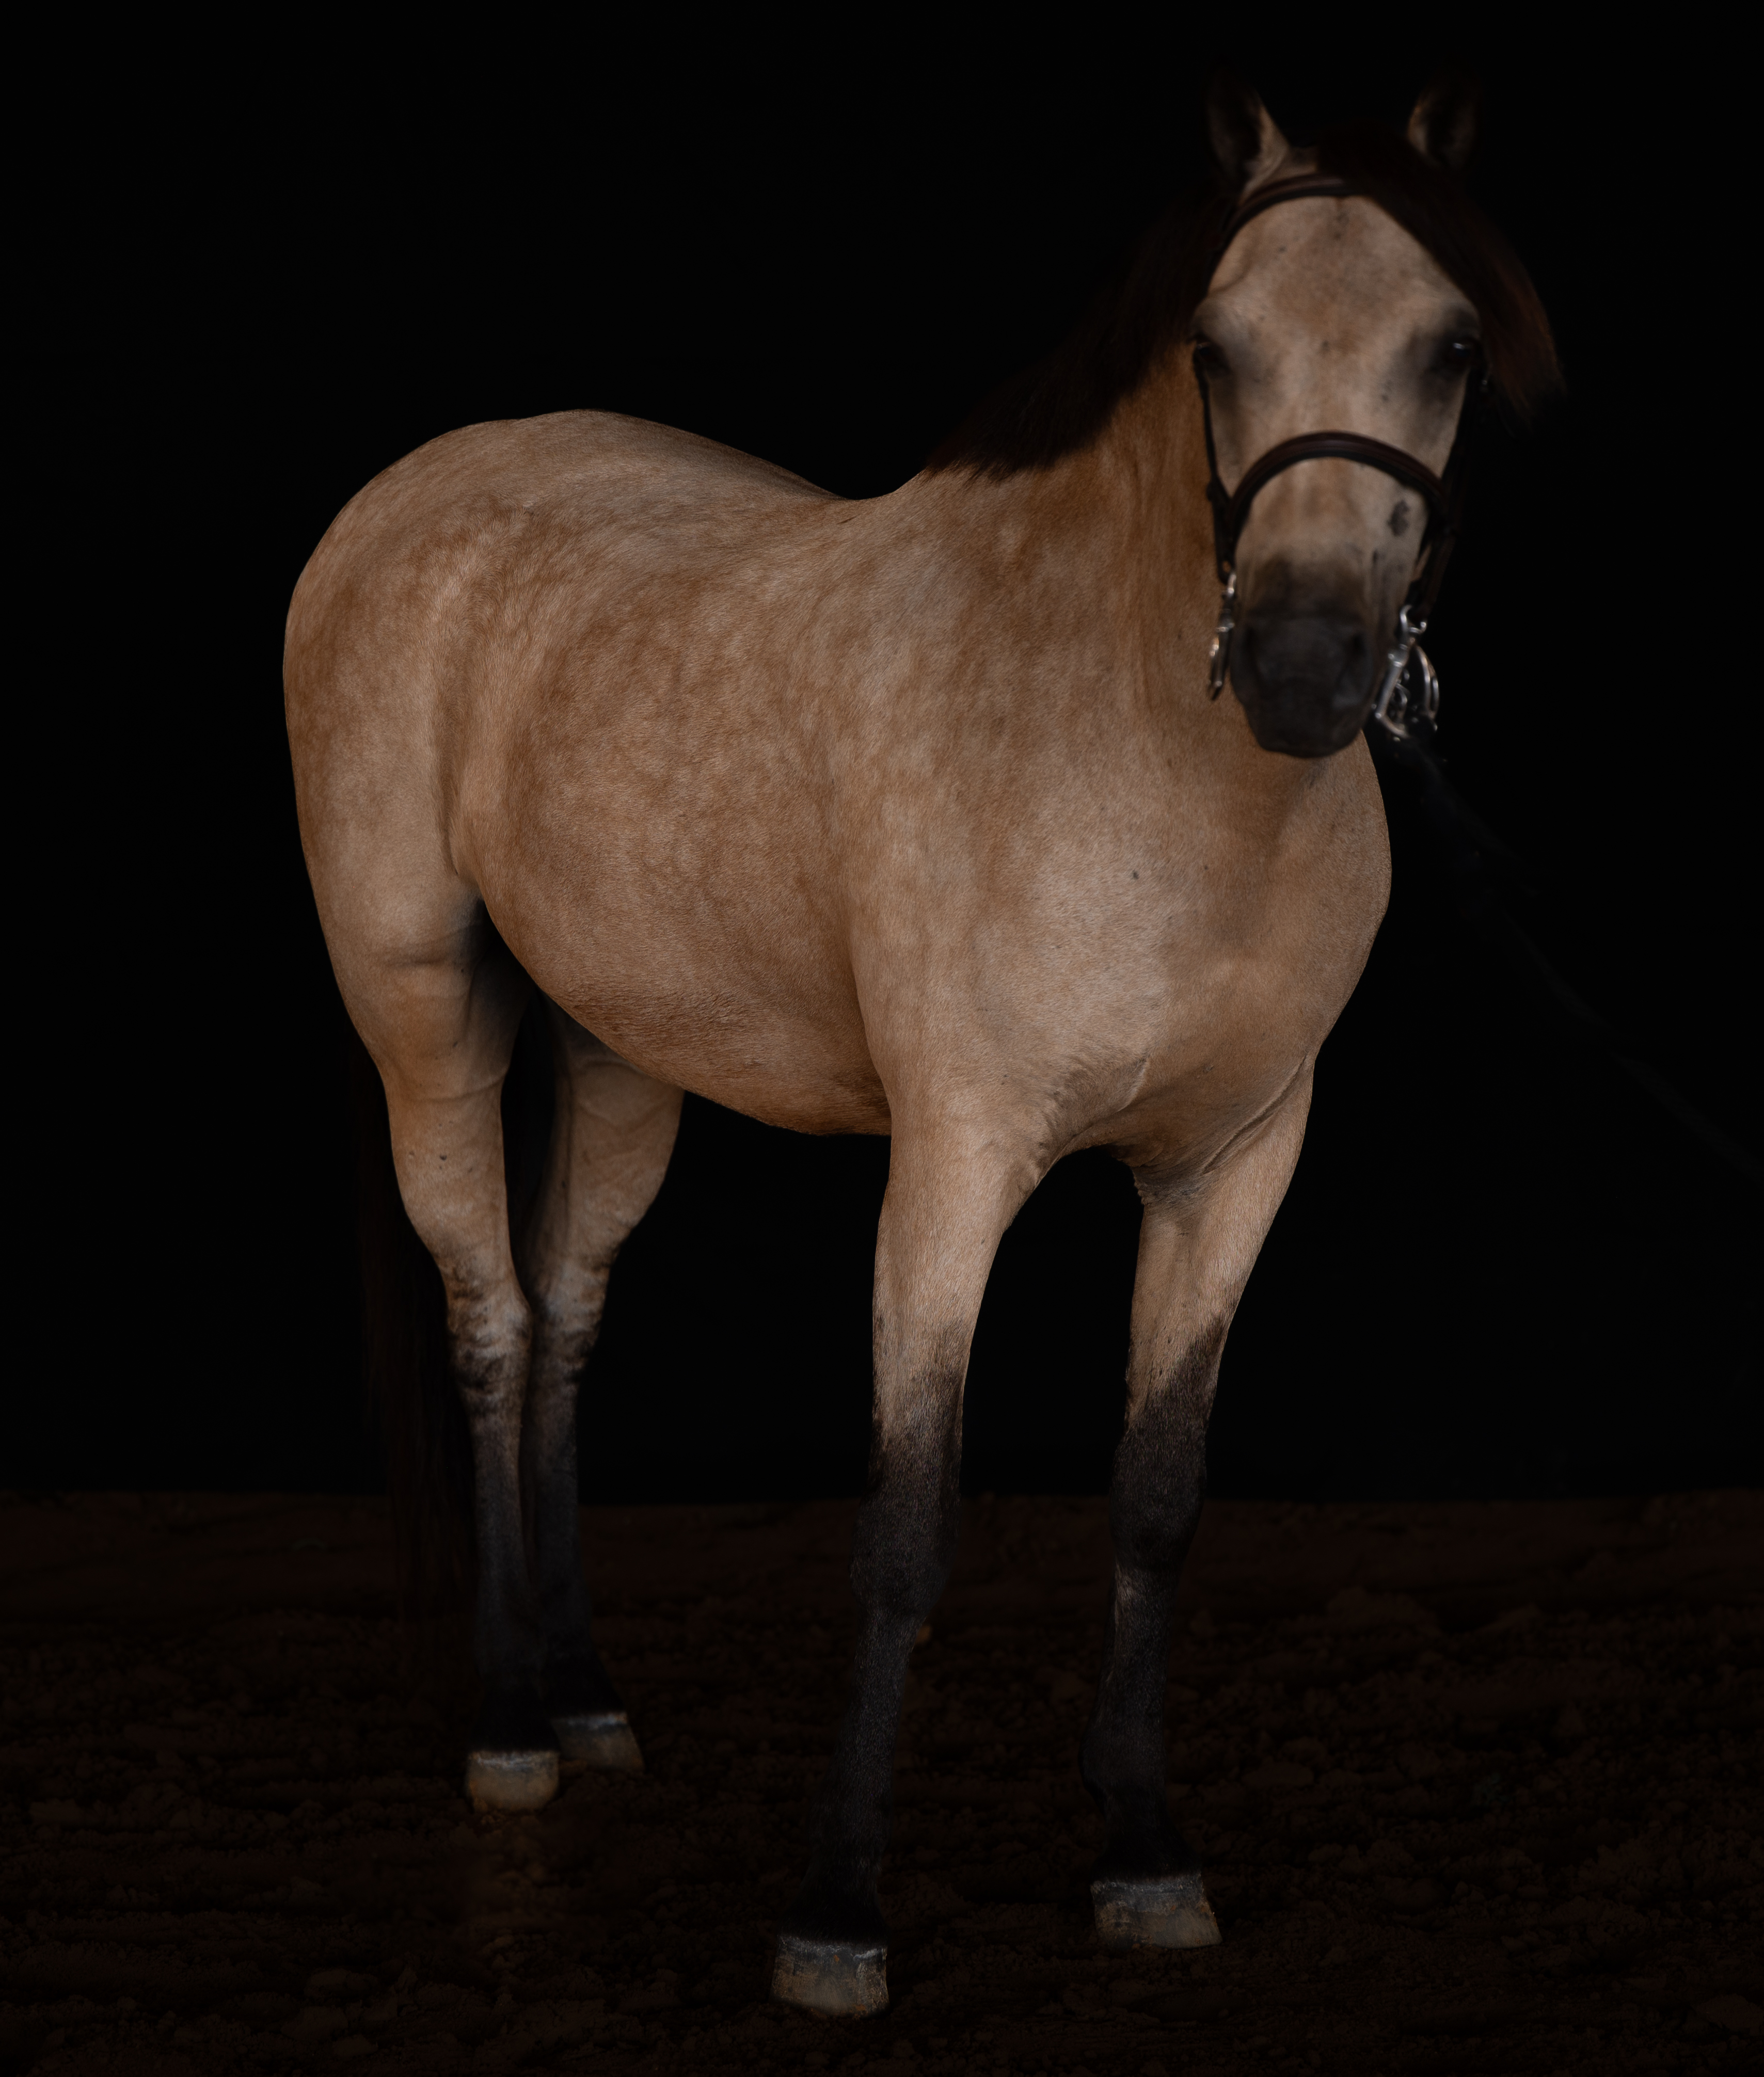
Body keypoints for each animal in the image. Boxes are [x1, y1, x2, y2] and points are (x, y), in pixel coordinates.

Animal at [284, 70, 1556, 2018]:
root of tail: (412, 489)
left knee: (567, 1306)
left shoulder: (1232, 1163)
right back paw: (507, 1726)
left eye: (1450, 344)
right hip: (416, 1005)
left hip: (624, 1046)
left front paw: (1142, 1857)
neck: (1155, 772)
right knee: (490, 1314)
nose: (1300, 664)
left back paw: (581, 1699)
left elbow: (1156, 1500)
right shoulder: (955, 1165)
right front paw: (833, 1915)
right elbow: (902, 1526)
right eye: (1213, 342)